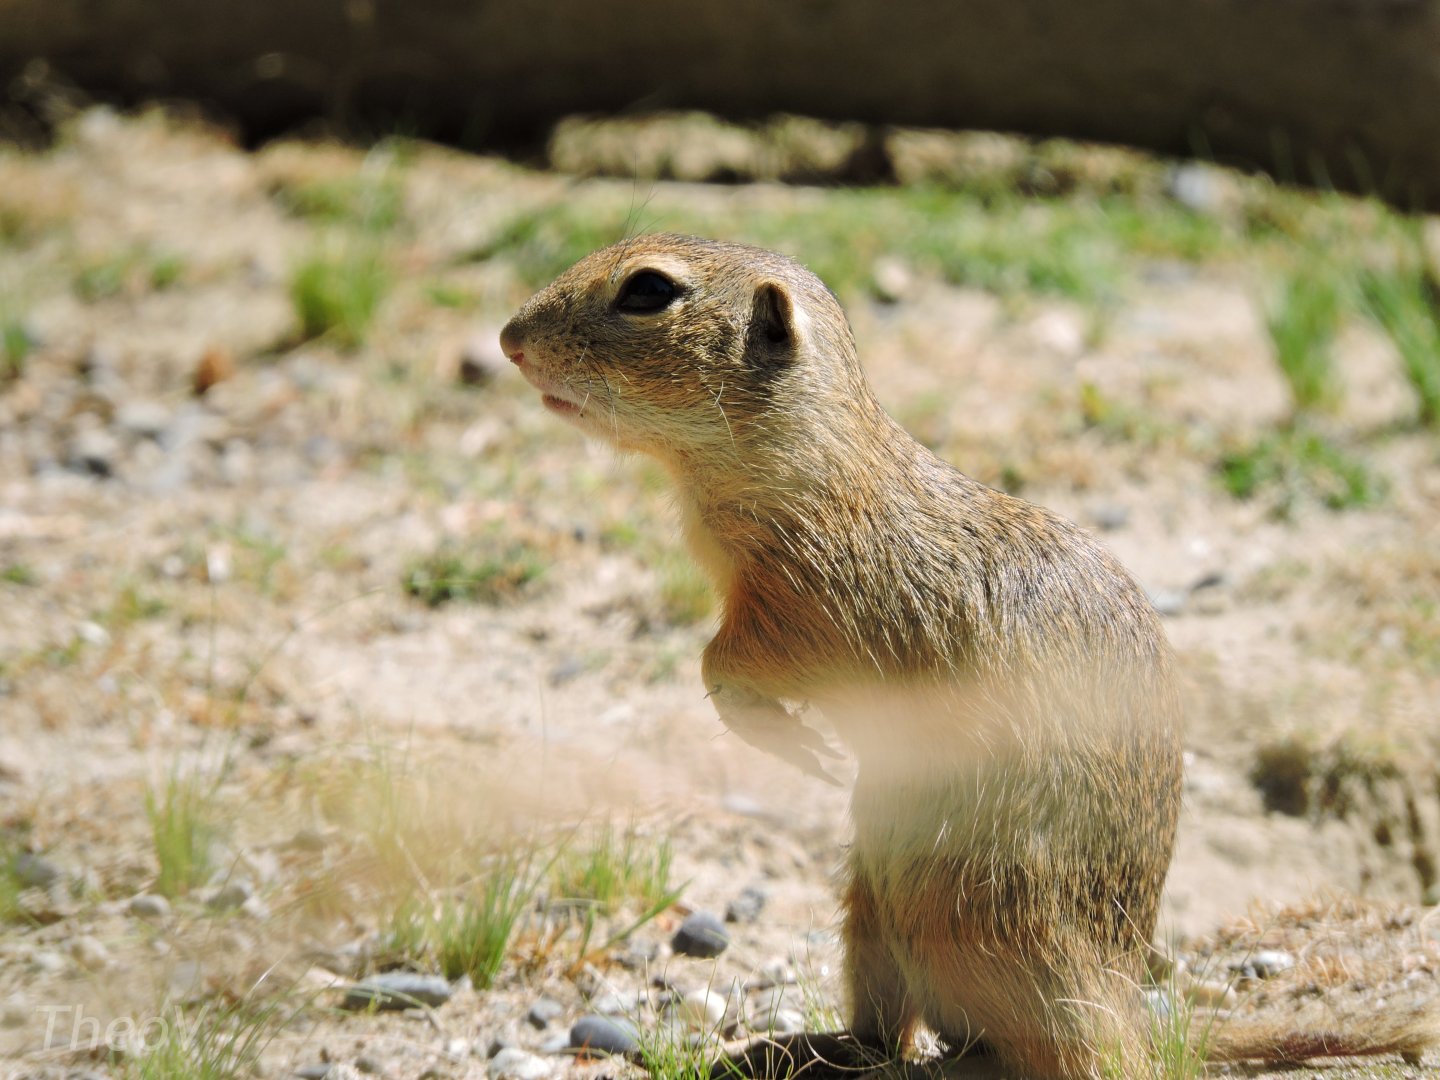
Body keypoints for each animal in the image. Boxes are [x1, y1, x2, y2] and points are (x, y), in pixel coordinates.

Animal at [500, 233, 1438, 1077]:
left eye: (647, 290)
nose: (508, 337)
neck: (819, 470)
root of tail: (1130, 1005)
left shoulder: (806, 607)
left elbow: (721, 665)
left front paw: (799, 745)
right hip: (869, 907)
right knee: (896, 1029)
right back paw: (822, 1047)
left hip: (985, 921)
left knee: (1079, 1057)